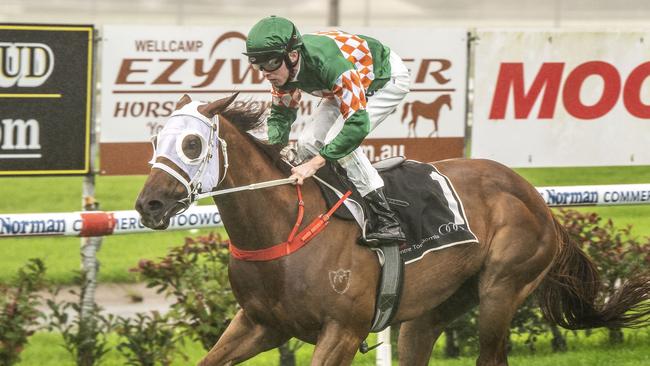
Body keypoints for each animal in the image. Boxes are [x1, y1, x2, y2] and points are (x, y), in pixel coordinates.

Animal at [137, 95, 648, 366]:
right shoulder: (260, 324)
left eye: (192, 143)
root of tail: (534, 196)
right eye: (156, 139)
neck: (285, 231)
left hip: (502, 289)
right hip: (430, 311)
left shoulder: (342, 331)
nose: (148, 204)